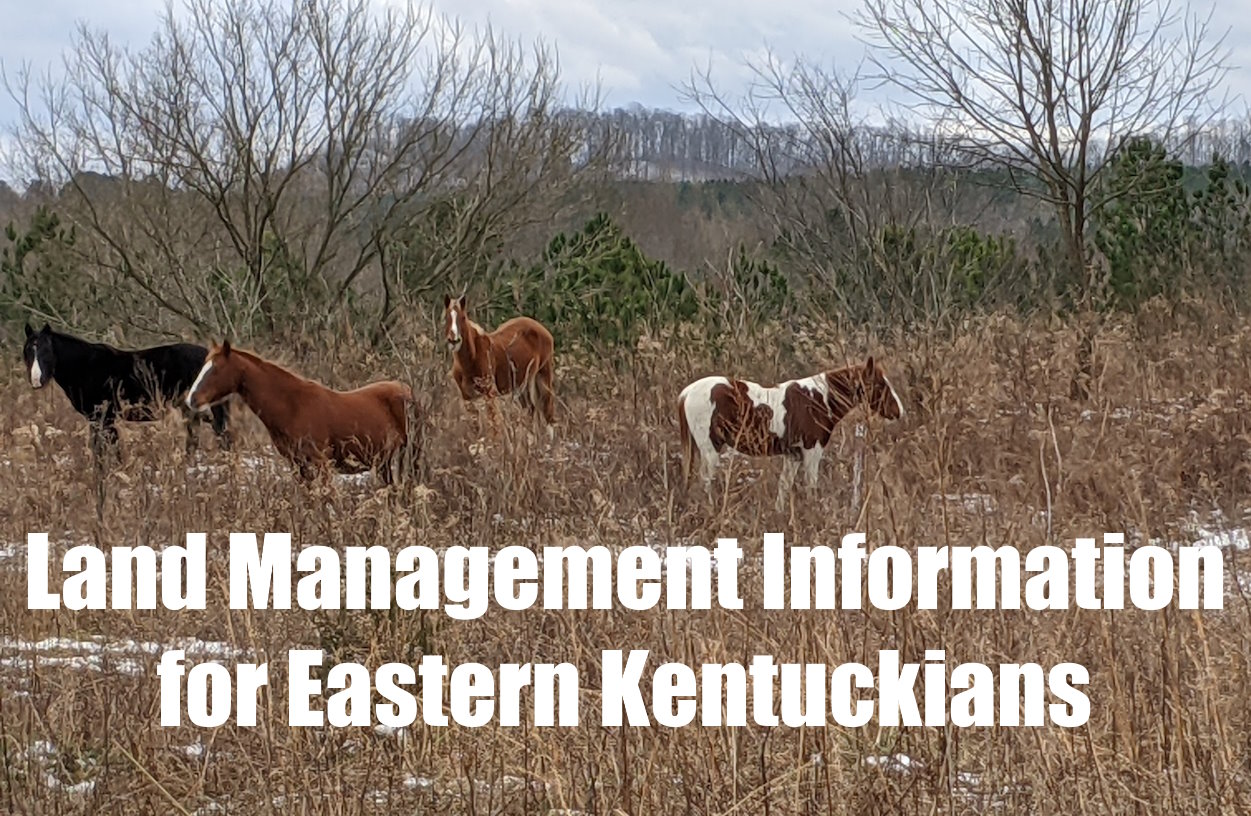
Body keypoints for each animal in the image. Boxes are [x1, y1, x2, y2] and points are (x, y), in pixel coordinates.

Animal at [21, 322, 232, 463]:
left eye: (47, 351)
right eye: (28, 352)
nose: (36, 381)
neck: (86, 367)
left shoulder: (103, 417)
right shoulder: (98, 419)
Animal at [183, 340, 420, 485]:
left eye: (216, 369)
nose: (191, 399)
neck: (293, 407)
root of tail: (406, 390)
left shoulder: (321, 463)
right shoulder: (297, 464)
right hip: (384, 463)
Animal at [680, 357, 905, 510]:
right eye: (880, 385)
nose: (899, 411)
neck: (818, 400)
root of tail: (687, 392)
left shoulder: (793, 455)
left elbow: (784, 486)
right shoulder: (812, 451)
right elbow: (810, 485)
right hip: (710, 449)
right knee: (706, 480)